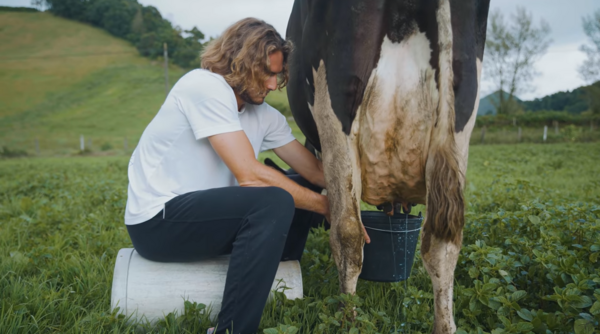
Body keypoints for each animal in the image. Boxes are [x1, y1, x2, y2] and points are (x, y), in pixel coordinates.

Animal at [288, 0, 492, 332]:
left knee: (348, 234)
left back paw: (347, 319)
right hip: (460, 119)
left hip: (335, 108)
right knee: (443, 245)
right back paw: (444, 325)